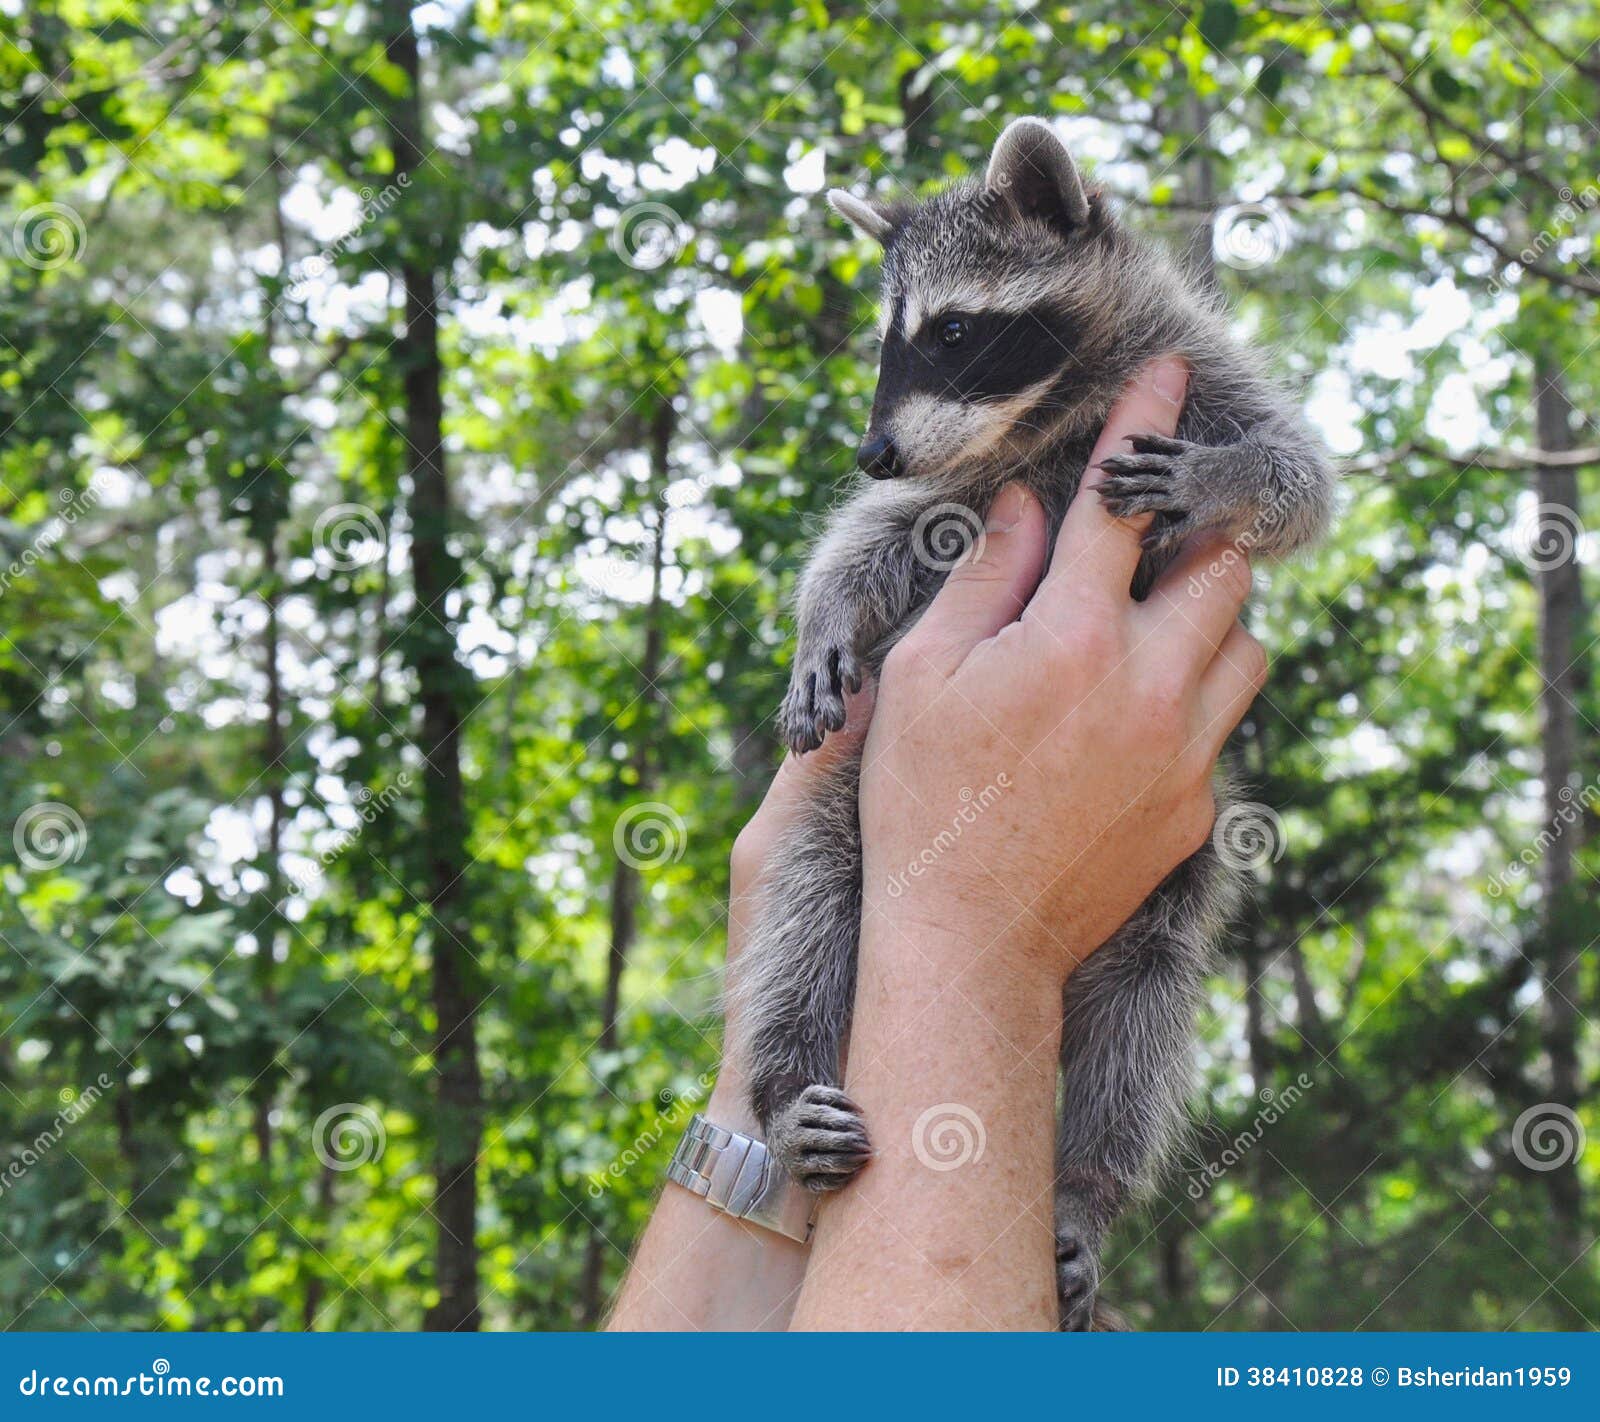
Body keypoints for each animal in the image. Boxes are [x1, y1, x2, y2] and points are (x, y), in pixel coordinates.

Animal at [732, 118, 1334, 1329]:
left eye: (955, 331)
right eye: (889, 340)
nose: (870, 452)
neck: (1054, 409)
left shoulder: (1204, 374)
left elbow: (1299, 481)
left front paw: (1230, 476)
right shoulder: (961, 484)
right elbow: (872, 537)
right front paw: (821, 611)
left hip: (1179, 879)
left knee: (1140, 1018)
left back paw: (1086, 1185)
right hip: (841, 811)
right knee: (810, 914)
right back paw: (781, 1087)